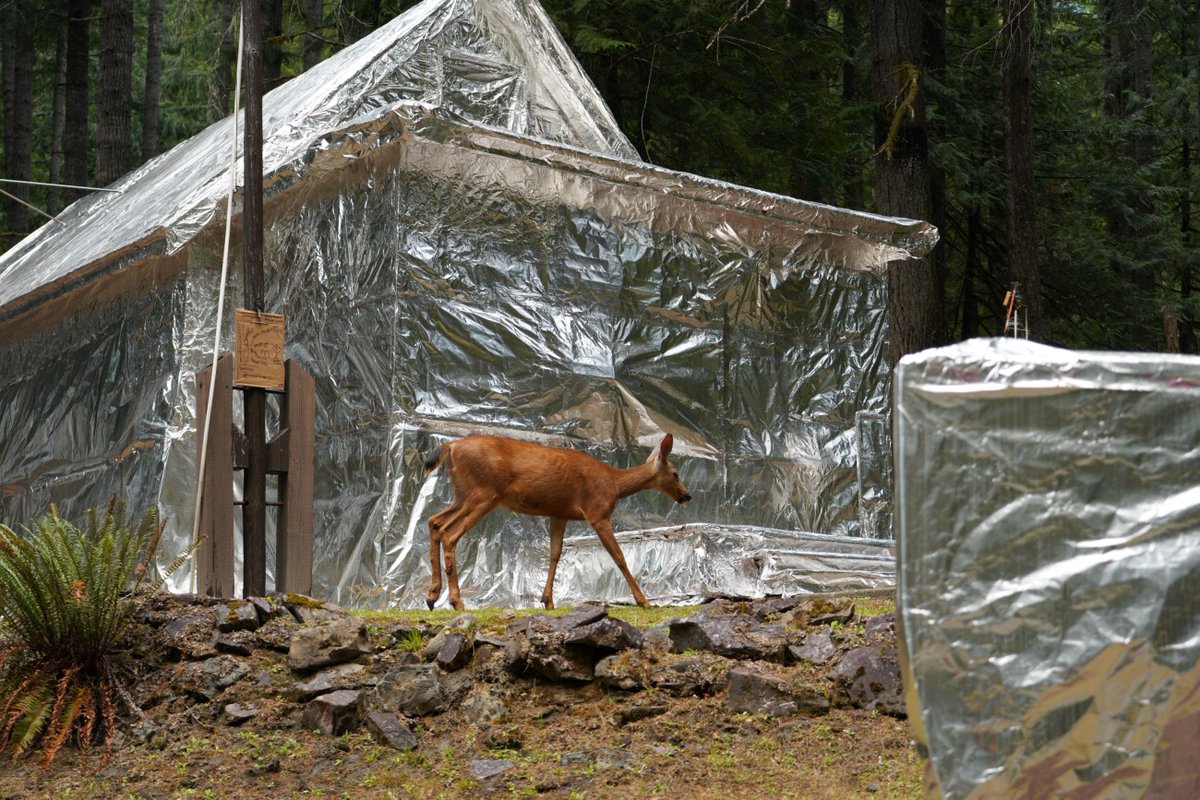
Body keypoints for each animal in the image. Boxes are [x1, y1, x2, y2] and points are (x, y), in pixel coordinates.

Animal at [422, 433, 691, 610]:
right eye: (675, 473)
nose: (687, 495)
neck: (614, 484)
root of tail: (451, 446)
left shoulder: (558, 514)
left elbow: (555, 553)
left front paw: (547, 600)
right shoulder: (598, 512)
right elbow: (619, 556)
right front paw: (643, 601)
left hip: (463, 494)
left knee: (433, 521)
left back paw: (432, 596)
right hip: (483, 493)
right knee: (449, 533)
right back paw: (456, 601)